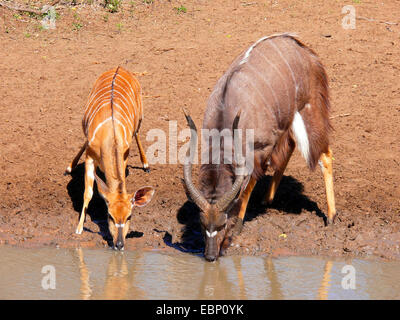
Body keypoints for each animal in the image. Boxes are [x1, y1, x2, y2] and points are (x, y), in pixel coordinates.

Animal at [65, 65, 155, 250]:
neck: (109, 135)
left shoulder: (124, 156)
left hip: (140, 117)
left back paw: (146, 164)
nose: (119, 244)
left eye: (129, 216)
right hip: (84, 122)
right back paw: (70, 166)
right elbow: (88, 193)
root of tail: (119, 67)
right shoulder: (90, 157)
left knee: (137, 133)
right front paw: (79, 228)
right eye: (110, 216)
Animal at [183, 33, 336, 262]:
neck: (226, 109)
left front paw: (237, 227)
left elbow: (248, 184)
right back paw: (267, 199)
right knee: (291, 144)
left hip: (309, 109)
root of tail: (304, 50)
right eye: (202, 225)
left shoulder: (260, 148)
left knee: (324, 154)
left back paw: (332, 216)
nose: (210, 256)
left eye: (222, 224)